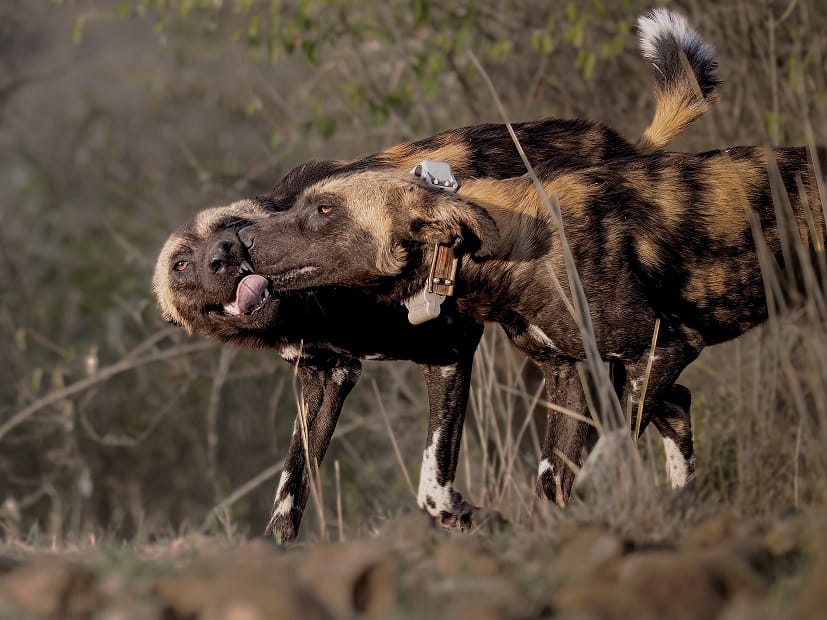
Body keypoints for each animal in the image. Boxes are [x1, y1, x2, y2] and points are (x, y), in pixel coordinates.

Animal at [154, 10, 720, 544]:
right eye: (182, 264)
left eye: (232, 227)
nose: (225, 255)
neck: (316, 305)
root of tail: (626, 146)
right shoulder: (327, 377)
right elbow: (289, 495)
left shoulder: (448, 352)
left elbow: (432, 482)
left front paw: (467, 517)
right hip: (564, 346)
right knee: (671, 404)